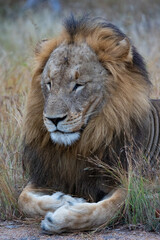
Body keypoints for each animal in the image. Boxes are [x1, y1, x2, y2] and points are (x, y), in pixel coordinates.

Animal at [18, 15, 160, 233]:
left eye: (78, 85)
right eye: (49, 83)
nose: (53, 119)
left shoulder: (137, 182)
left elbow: (115, 205)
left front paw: (62, 217)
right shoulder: (46, 175)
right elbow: (23, 199)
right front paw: (63, 199)